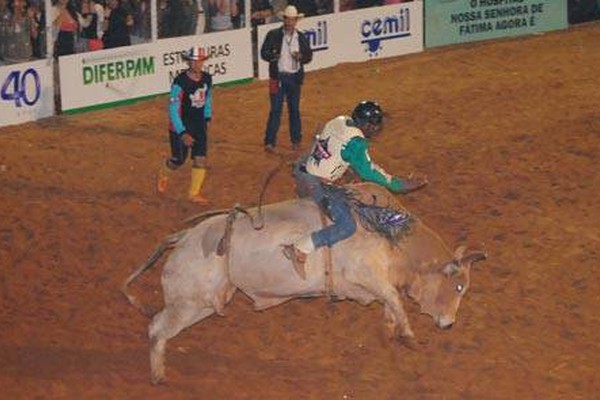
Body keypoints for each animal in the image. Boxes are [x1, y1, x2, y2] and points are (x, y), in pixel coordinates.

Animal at [122, 183, 488, 382]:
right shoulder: (365, 273)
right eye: (458, 287)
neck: (393, 237)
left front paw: (390, 331)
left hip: (202, 304)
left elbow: (389, 303)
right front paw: (409, 336)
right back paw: (158, 375)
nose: (449, 323)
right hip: (187, 301)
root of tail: (183, 237)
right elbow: (394, 299)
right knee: (156, 328)